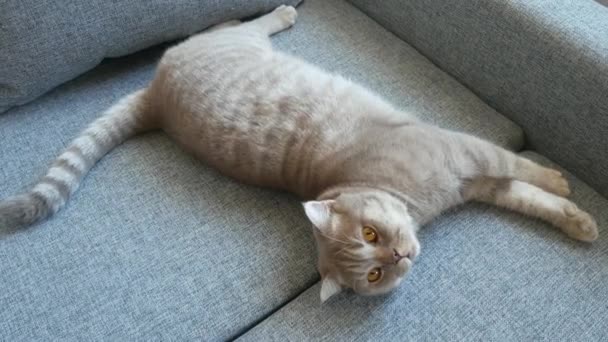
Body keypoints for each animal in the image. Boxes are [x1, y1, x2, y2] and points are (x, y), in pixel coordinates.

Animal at [0, 5, 600, 302]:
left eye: (371, 235)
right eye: (373, 271)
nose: (398, 257)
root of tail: (156, 97)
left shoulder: (472, 156)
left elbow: (522, 171)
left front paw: (564, 190)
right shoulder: (473, 174)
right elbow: (525, 193)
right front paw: (575, 211)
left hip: (240, 43)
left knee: (247, 22)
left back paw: (280, 10)